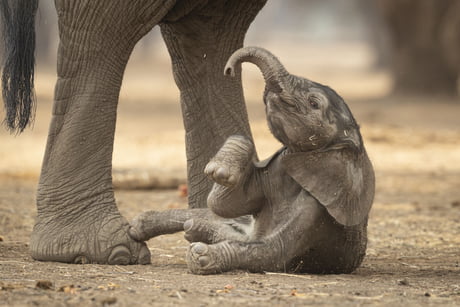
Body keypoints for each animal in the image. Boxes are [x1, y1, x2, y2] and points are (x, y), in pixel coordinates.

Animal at [128, 47, 374, 276]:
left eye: (314, 103)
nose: (228, 69)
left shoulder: (319, 205)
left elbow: (273, 251)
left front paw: (201, 256)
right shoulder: (275, 168)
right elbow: (226, 204)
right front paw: (227, 162)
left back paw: (195, 231)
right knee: (214, 217)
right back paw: (143, 226)